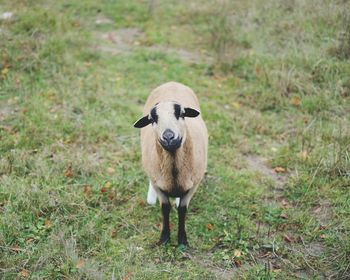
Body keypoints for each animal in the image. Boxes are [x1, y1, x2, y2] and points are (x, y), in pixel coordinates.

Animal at [133, 81, 206, 247]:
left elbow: (182, 210)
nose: (168, 137)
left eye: (182, 114)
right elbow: (165, 209)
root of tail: (172, 83)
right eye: (152, 119)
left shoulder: (193, 186)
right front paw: (164, 238)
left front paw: (182, 241)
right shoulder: (159, 186)